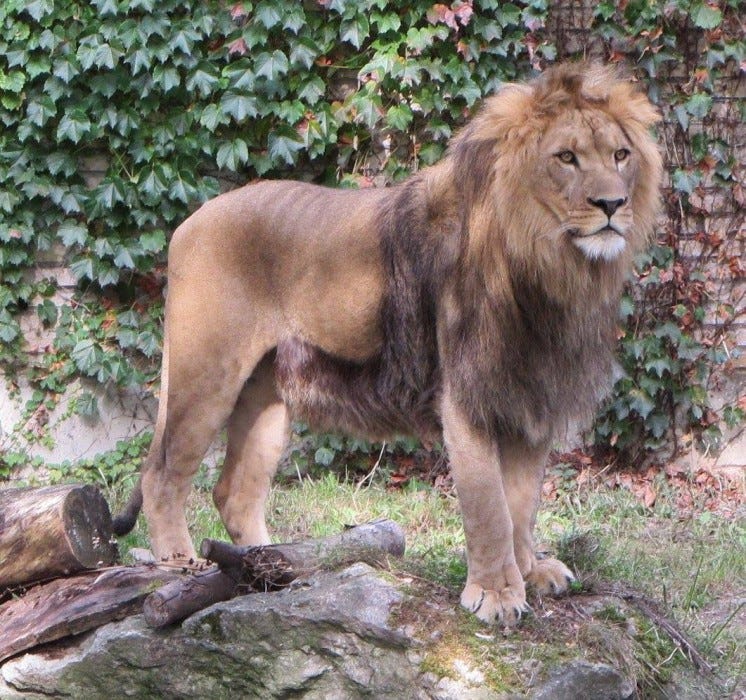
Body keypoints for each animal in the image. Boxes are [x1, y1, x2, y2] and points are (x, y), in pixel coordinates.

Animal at [113, 63, 660, 628]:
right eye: (566, 157)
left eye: (621, 155)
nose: (612, 204)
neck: (548, 268)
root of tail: (189, 221)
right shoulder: (466, 395)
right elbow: (490, 506)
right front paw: (495, 593)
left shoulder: (530, 393)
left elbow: (522, 501)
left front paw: (530, 572)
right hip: (207, 373)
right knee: (161, 476)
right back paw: (184, 566)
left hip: (267, 394)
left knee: (235, 493)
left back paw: (275, 567)